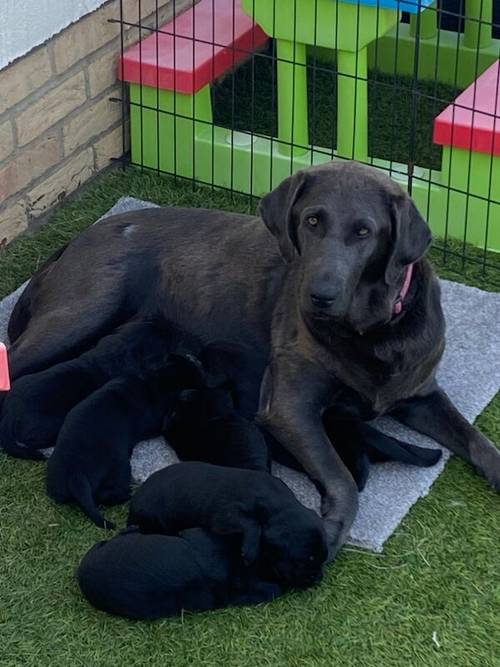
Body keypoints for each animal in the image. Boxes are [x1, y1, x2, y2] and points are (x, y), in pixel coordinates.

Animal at [128, 462, 328, 588]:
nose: (318, 577)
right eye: (309, 558)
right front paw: (250, 549)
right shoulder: (225, 515)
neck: (276, 503)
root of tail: (133, 505)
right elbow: (252, 523)